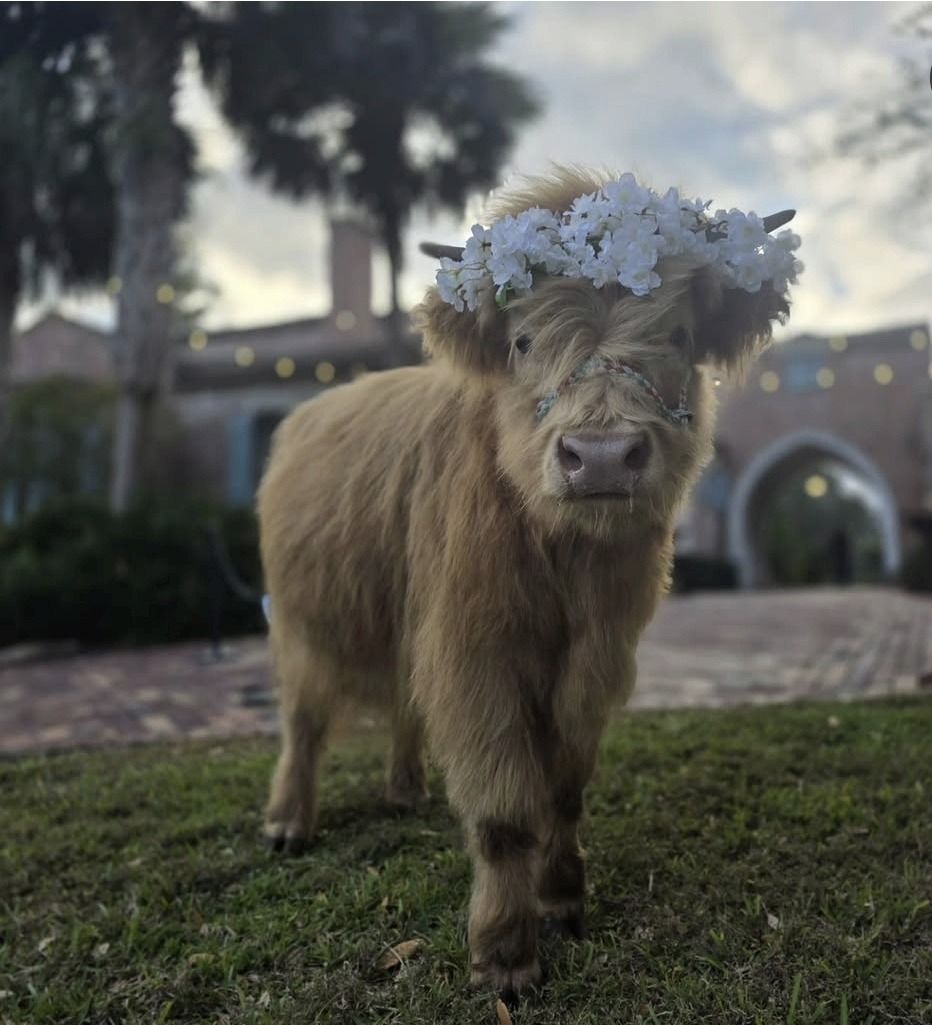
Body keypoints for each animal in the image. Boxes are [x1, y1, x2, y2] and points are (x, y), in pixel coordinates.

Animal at [257, 167, 800, 997]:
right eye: (521, 341)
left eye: (677, 335)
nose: (601, 456)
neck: (563, 560)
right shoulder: (476, 652)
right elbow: (506, 807)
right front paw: (504, 953)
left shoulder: (597, 655)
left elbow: (565, 786)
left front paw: (563, 897)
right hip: (302, 623)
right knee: (304, 720)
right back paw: (288, 821)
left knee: (404, 702)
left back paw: (406, 789)